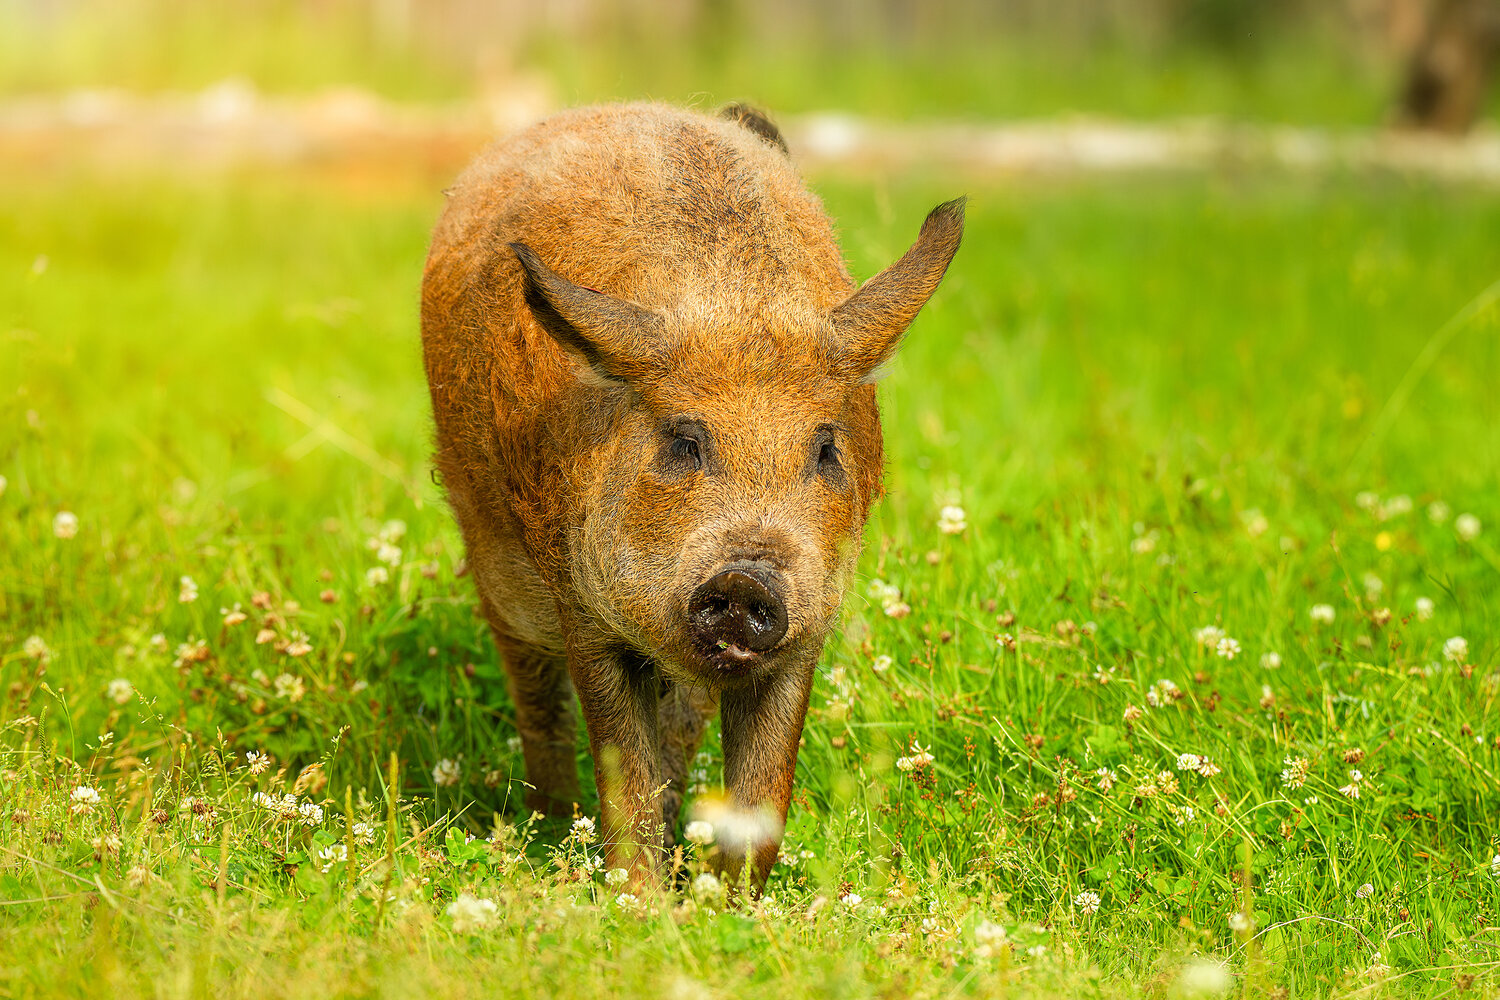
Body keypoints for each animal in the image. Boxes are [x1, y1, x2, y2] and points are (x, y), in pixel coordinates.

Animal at [420, 102, 962, 891]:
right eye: (682, 441)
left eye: (826, 448)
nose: (746, 579)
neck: (733, 308)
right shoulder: (584, 608)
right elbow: (625, 775)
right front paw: (640, 900)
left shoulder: (807, 626)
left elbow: (763, 792)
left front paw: (721, 902)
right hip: (497, 570)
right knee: (538, 703)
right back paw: (547, 828)